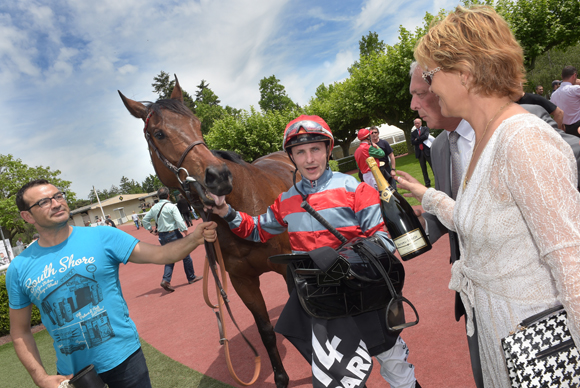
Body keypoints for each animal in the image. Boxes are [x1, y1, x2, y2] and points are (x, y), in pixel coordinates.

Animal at [121, 77, 294, 386]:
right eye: (159, 133)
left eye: (198, 124)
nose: (218, 177)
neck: (247, 207)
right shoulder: (242, 281)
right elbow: (265, 331)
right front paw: (281, 377)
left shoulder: (287, 267)